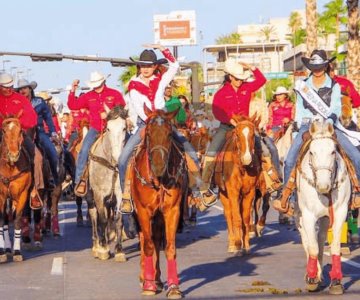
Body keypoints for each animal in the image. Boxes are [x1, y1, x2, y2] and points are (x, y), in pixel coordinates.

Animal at [129, 106, 184, 298]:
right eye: (148, 134)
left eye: (169, 134)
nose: (159, 167)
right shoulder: (143, 211)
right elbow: (148, 246)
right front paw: (148, 285)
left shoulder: (172, 211)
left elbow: (170, 247)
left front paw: (174, 286)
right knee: (145, 239)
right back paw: (146, 277)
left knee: (158, 239)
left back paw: (158, 278)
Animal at [296, 118, 352, 294]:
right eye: (312, 152)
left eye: (333, 152)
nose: (323, 186)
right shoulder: (308, 215)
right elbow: (312, 247)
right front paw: (312, 278)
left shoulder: (340, 212)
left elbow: (334, 247)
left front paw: (336, 282)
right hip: (299, 216)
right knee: (307, 241)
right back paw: (314, 274)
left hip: (326, 217)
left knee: (320, 239)